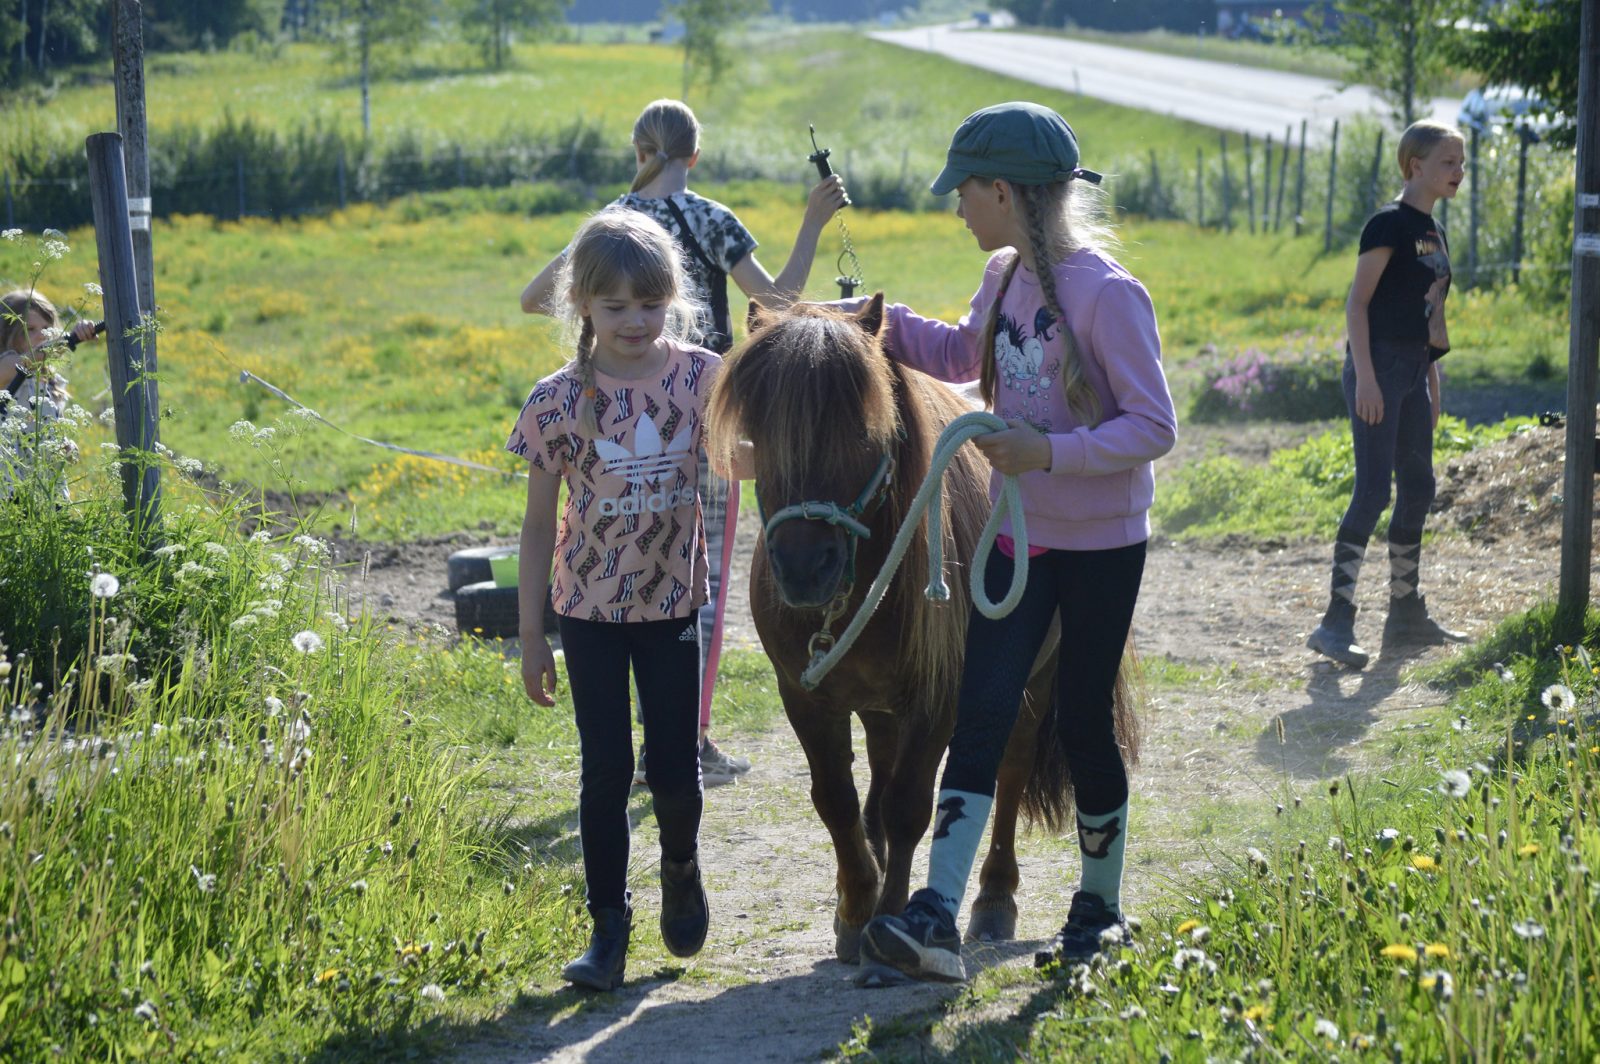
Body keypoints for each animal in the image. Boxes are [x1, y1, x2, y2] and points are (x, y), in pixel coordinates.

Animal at [710, 294, 1139, 960]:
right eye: (761, 432)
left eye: (865, 431)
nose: (805, 568)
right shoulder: (805, 696)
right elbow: (837, 800)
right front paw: (856, 906)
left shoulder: (940, 699)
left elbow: (911, 805)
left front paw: (889, 916)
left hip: (1036, 681)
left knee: (1009, 772)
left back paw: (994, 897)